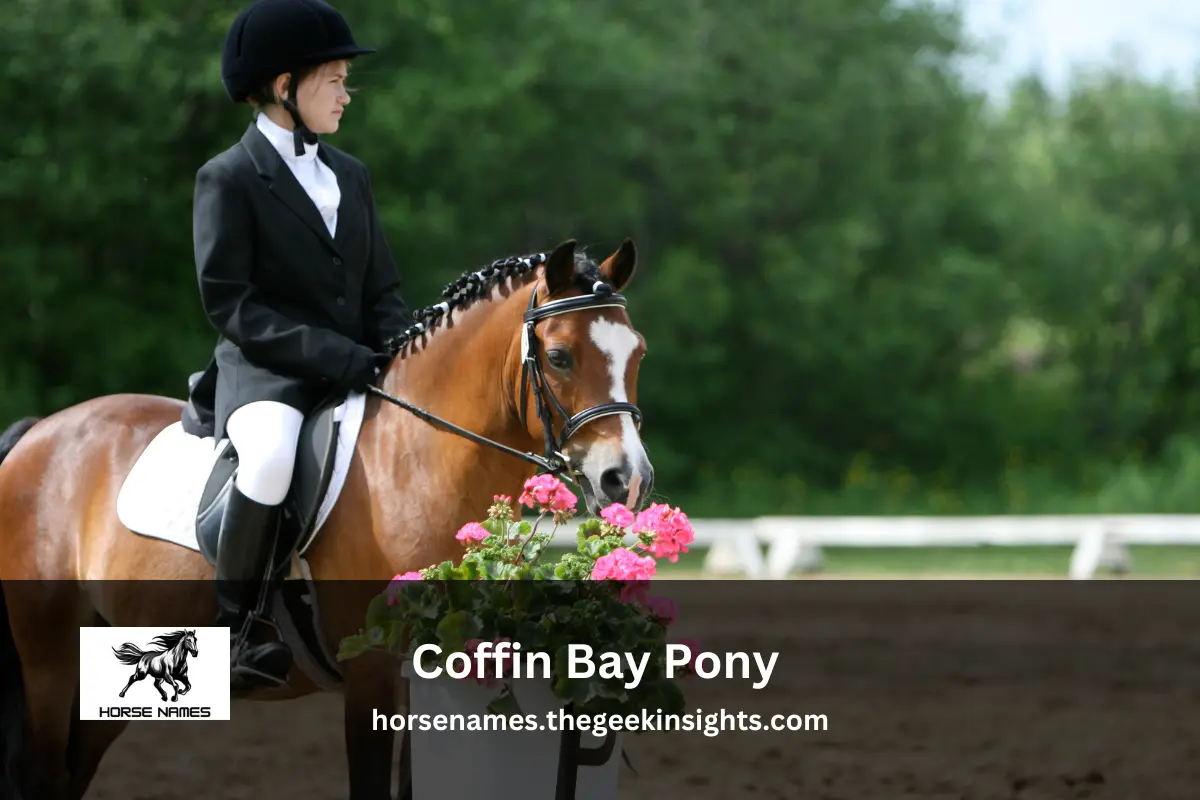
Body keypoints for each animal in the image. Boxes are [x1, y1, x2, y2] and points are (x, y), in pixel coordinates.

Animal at [0, 237, 654, 800]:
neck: (416, 463)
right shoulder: (372, 673)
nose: (628, 480)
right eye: (560, 356)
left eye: (638, 353)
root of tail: (38, 432)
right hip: (50, 659)